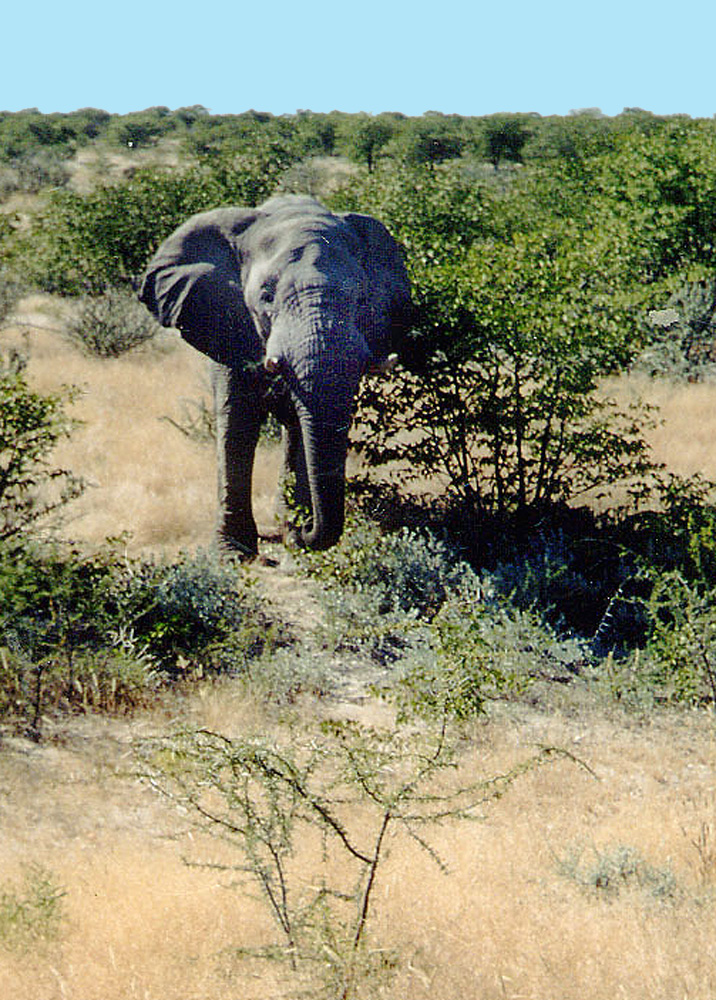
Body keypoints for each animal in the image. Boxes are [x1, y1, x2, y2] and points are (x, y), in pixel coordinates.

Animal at [138, 191, 414, 560]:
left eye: (361, 298)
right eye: (266, 297)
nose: (305, 534)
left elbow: (305, 424)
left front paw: (293, 535)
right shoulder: (230, 325)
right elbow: (237, 421)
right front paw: (233, 554)